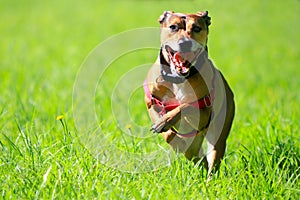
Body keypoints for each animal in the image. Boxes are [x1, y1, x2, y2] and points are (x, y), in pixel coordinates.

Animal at [144, 10, 236, 175]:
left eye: (197, 28)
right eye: (173, 27)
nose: (184, 42)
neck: (178, 79)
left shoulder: (204, 112)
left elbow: (185, 106)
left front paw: (167, 119)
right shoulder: (151, 102)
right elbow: (168, 134)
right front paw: (163, 125)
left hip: (218, 128)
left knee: (214, 155)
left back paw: (210, 177)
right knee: (193, 152)